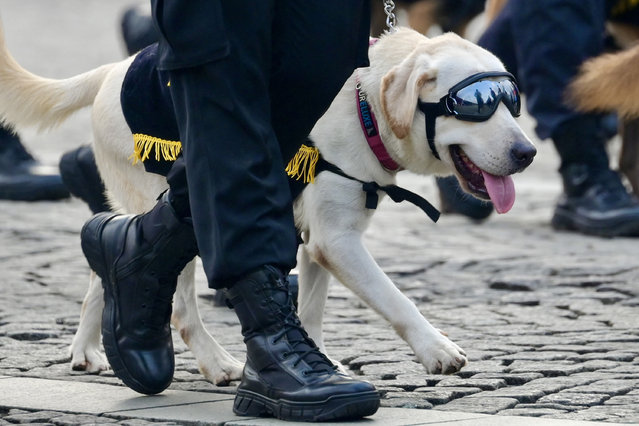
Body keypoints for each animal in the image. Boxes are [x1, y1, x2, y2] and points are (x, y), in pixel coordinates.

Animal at [0, 25, 536, 382]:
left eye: (512, 101)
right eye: (474, 105)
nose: (528, 153)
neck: (365, 103)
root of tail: (113, 69)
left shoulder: (321, 239)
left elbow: (312, 309)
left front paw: (320, 361)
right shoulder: (337, 241)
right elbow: (394, 298)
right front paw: (436, 349)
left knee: (103, 267)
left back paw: (87, 351)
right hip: (172, 199)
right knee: (178, 306)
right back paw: (216, 363)